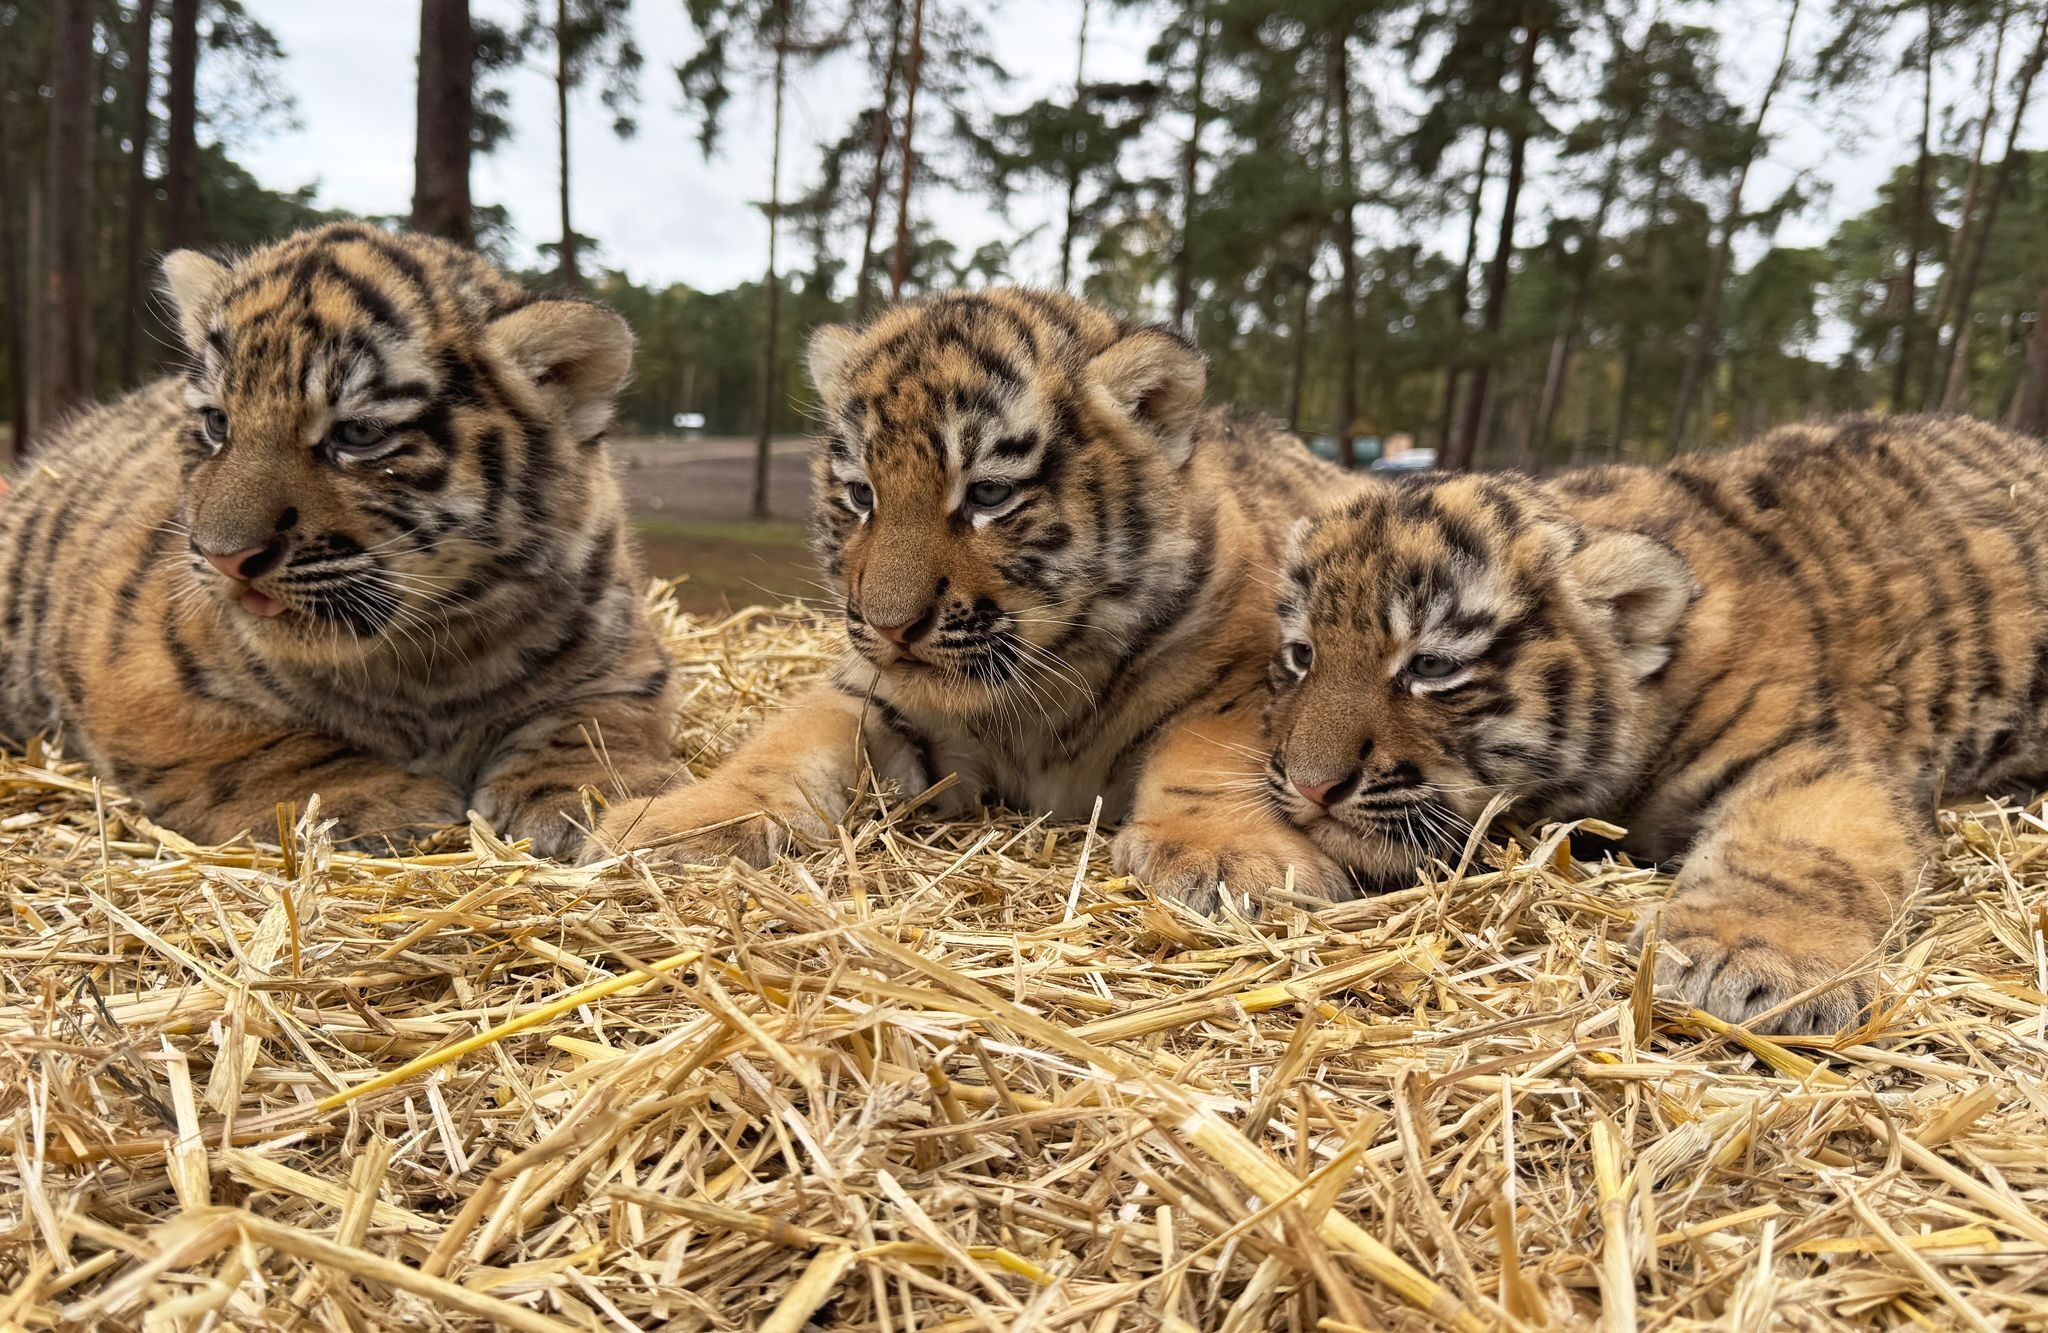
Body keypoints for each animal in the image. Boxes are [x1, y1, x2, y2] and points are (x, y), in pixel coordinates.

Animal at [0, 223, 679, 856]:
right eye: (218, 423)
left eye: (358, 434)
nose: (226, 558)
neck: (429, 667)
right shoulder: (142, 678)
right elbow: (266, 750)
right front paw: (374, 801)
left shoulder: (626, 660)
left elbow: (596, 724)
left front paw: (592, 792)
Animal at [592, 288, 1353, 907]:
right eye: (860, 494)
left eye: (988, 494)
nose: (891, 626)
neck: (1044, 691)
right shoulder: (875, 696)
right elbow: (784, 744)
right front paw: (675, 821)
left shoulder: (1240, 680)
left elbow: (1213, 754)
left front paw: (1231, 856)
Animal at [1263, 415, 2048, 1034]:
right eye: (1302, 656)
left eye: (1430, 665)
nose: (1310, 787)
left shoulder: (1810, 756)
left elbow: (1798, 851)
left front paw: (1744, 957)